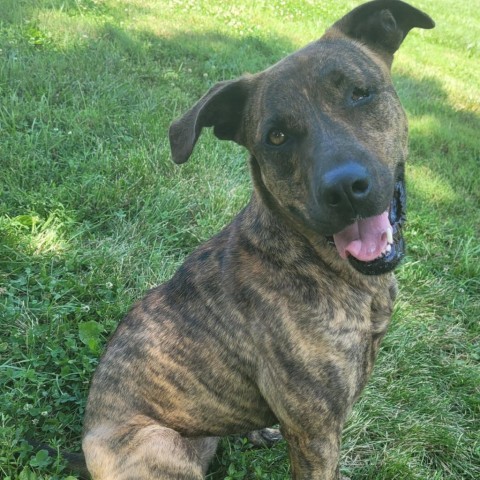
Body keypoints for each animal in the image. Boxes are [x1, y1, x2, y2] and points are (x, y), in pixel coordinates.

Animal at [81, 1, 436, 478]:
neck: (312, 260)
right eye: (277, 137)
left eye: (360, 93)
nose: (345, 188)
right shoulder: (316, 434)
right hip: (162, 444)